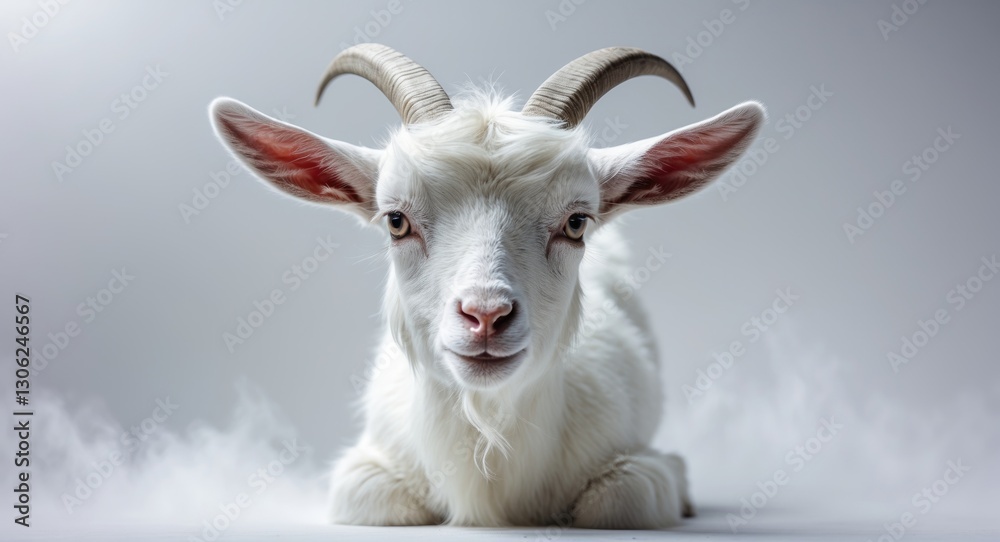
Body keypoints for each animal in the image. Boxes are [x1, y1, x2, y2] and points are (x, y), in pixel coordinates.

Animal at [209, 44, 763, 529]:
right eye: (396, 220)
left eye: (576, 222)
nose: (486, 316)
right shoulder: (365, 469)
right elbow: (375, 497)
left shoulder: (636, 462)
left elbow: (626, 498)